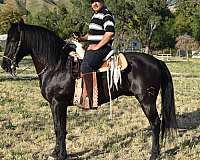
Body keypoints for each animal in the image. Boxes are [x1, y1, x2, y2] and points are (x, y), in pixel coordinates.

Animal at [1, 20, 177, 160]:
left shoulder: (58, 104)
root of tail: (157, 61)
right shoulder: (56, 105)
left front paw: (61, 155)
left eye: (14, 40)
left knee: (155, 123)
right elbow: (58, 128)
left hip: (147, 100)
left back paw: (154, 154)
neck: (56, 65)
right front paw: (56, 152)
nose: (5, 64)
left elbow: (60, 129)